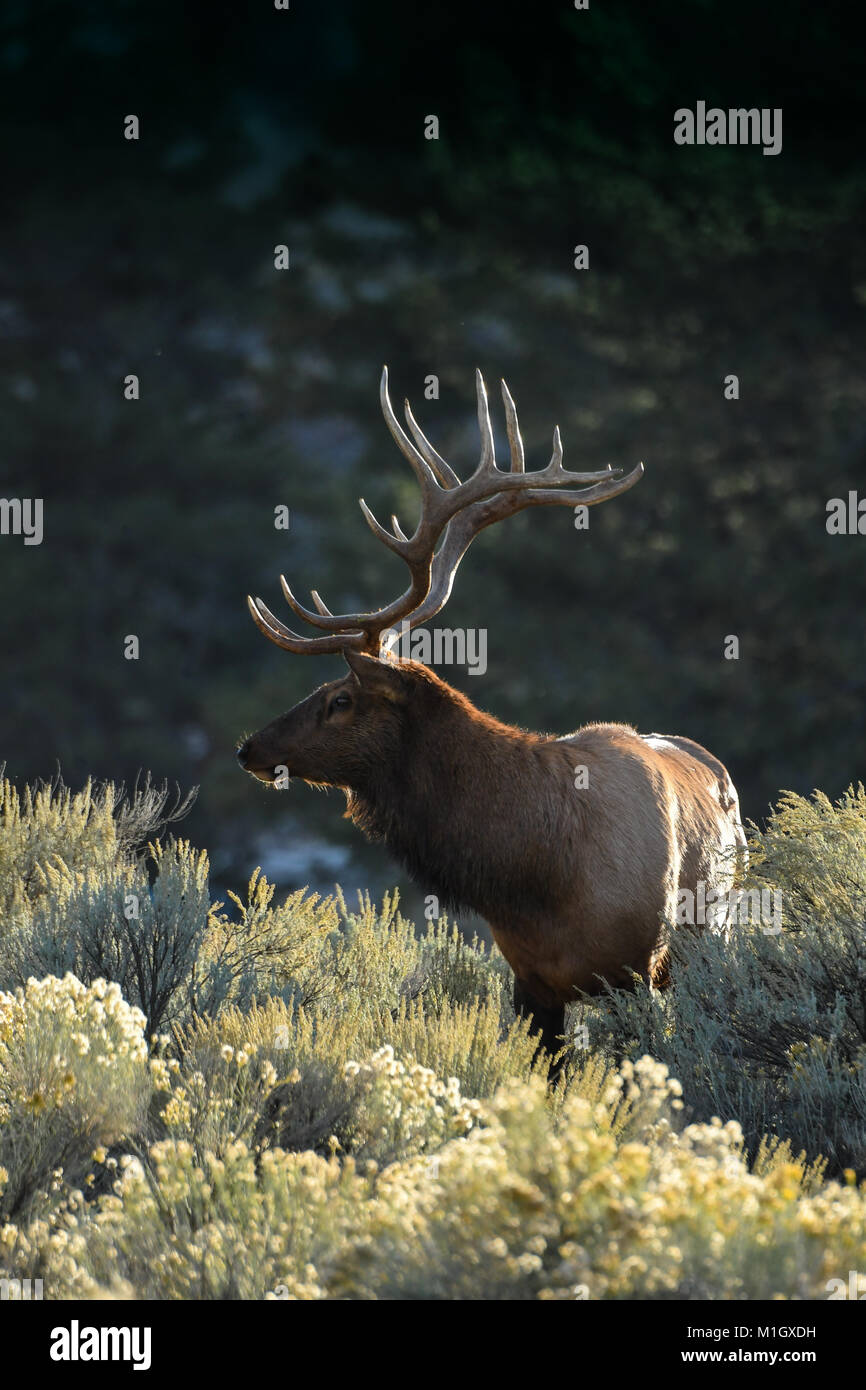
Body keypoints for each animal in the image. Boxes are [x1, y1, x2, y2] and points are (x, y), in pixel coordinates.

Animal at [240, 369, 750, 1073]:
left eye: (341, 699)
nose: (249, 748)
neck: (538, 873)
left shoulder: (637, 969)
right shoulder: (530, 980)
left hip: (715, 937)